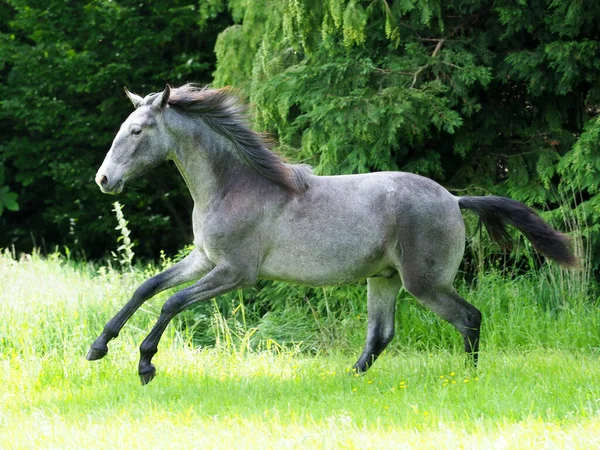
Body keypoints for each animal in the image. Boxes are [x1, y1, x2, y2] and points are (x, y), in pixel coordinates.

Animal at [89, 83, 576, 384]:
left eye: (136, 131)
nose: (104, 180)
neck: (235, 186)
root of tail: (455, 200)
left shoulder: (235, 273)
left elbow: (171, 302)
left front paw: (145, 365)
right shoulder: (204, 259)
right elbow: (147, 288)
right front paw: (98, 347)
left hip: (425, 283)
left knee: (468, 318)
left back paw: (468, 378)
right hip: (384, 280)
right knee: (381, 336)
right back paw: (346, 380)